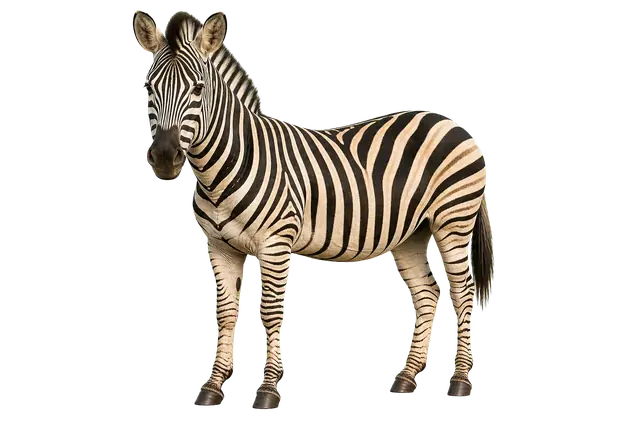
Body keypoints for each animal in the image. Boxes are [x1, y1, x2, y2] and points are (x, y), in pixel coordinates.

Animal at [132, 9, 495, 410]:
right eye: (148, 89)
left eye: (198, 89)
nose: (164, 159)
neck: (223, 168)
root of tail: (450, 122)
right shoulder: (219, 248)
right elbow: (225, 313)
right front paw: (211, 388)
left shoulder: (275, 244)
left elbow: (271, 312)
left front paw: (267, 391)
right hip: (411, 236)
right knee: (428, 295)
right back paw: (406, 378)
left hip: (452, 223)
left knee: (463, 294)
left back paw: (460, 382)